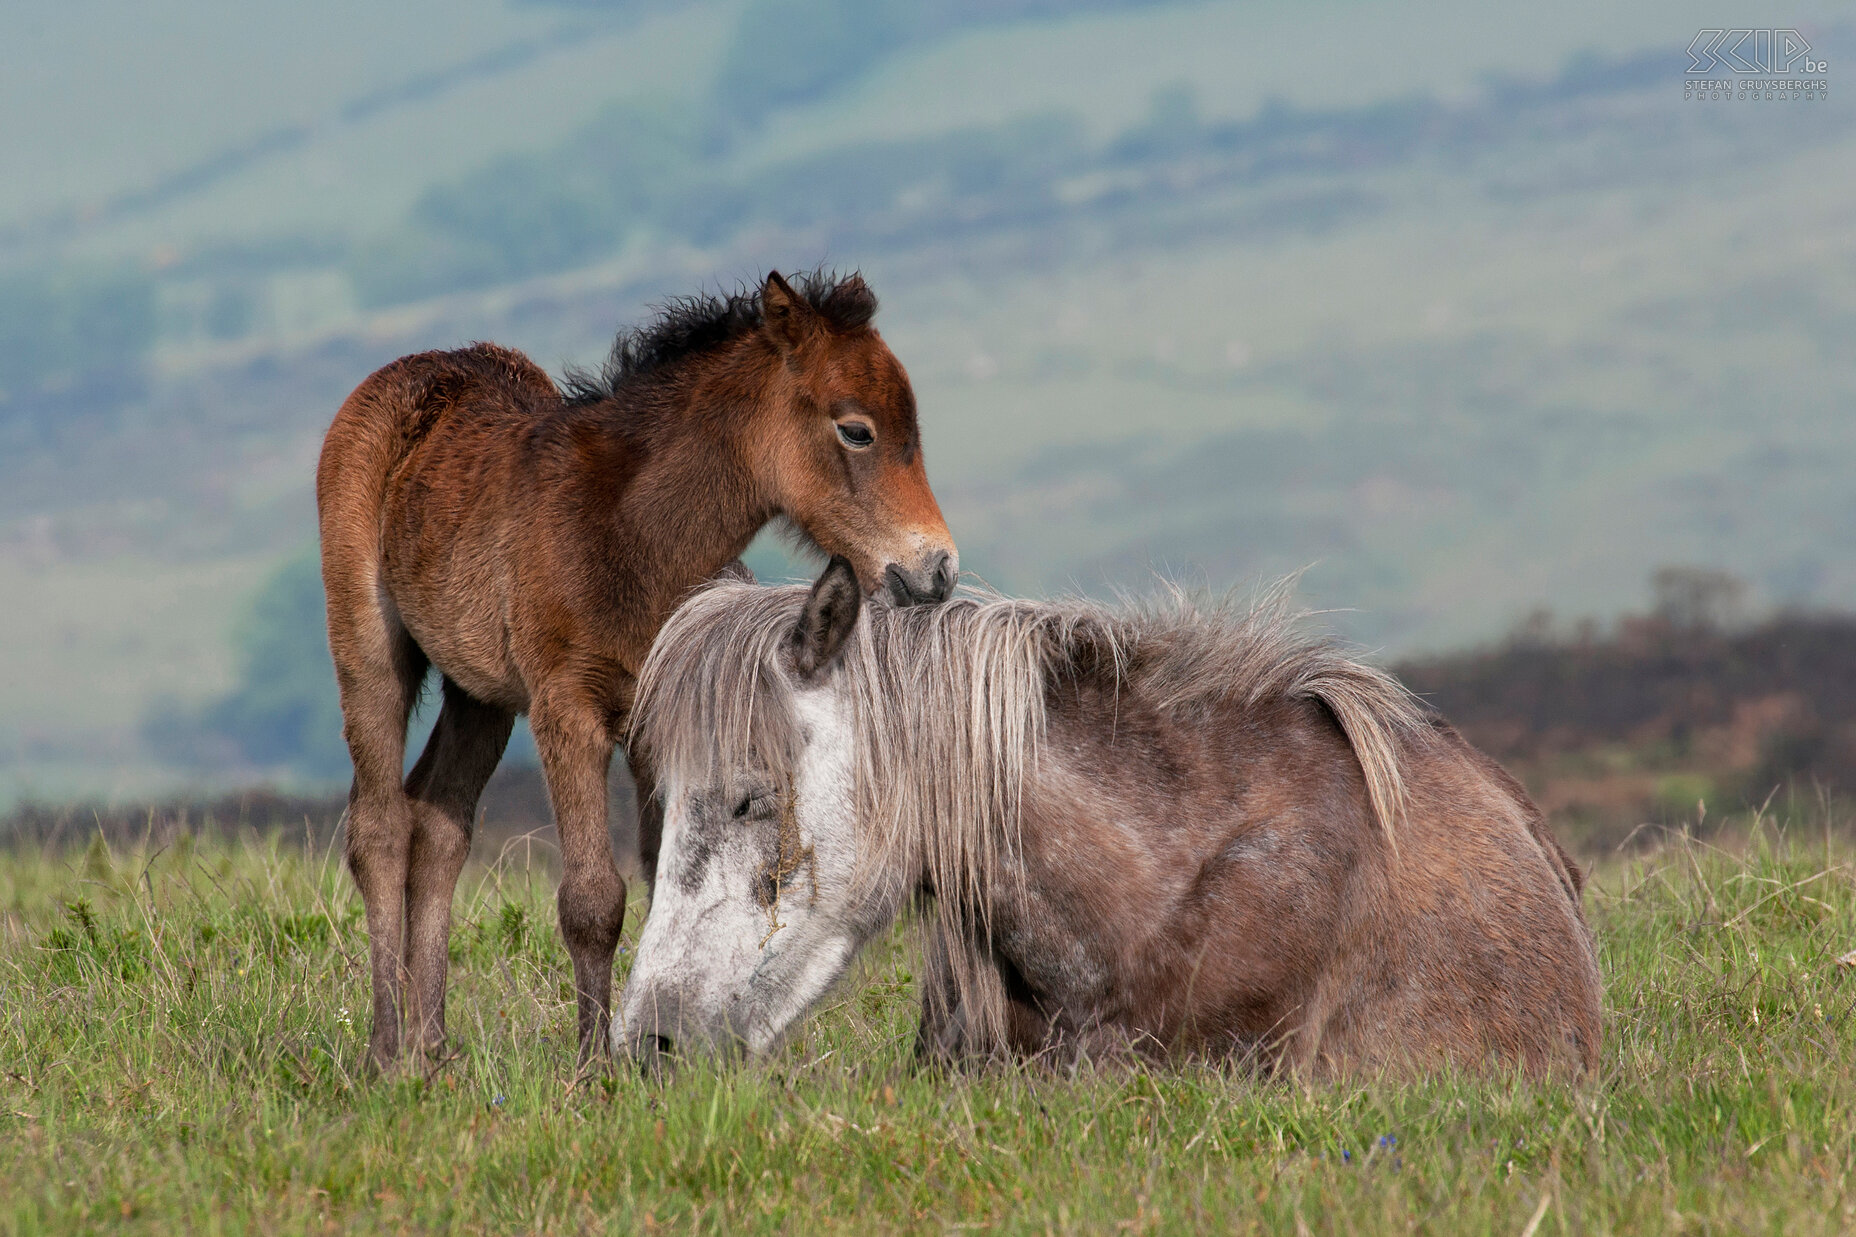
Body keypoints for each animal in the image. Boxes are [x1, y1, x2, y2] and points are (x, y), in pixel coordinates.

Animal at [315, 274, 957, 1062]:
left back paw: (430, 1053)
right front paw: (595, 1067)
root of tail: (418, 367)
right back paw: (384, 1053)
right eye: (856, 430)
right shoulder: (567, 710)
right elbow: (592, 898)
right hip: (368, 646)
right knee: (378, 828)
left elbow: (664, 880)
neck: (632, 535)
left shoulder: (660, 725)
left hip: (480, 693)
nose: (935, 569)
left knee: (439, 827)